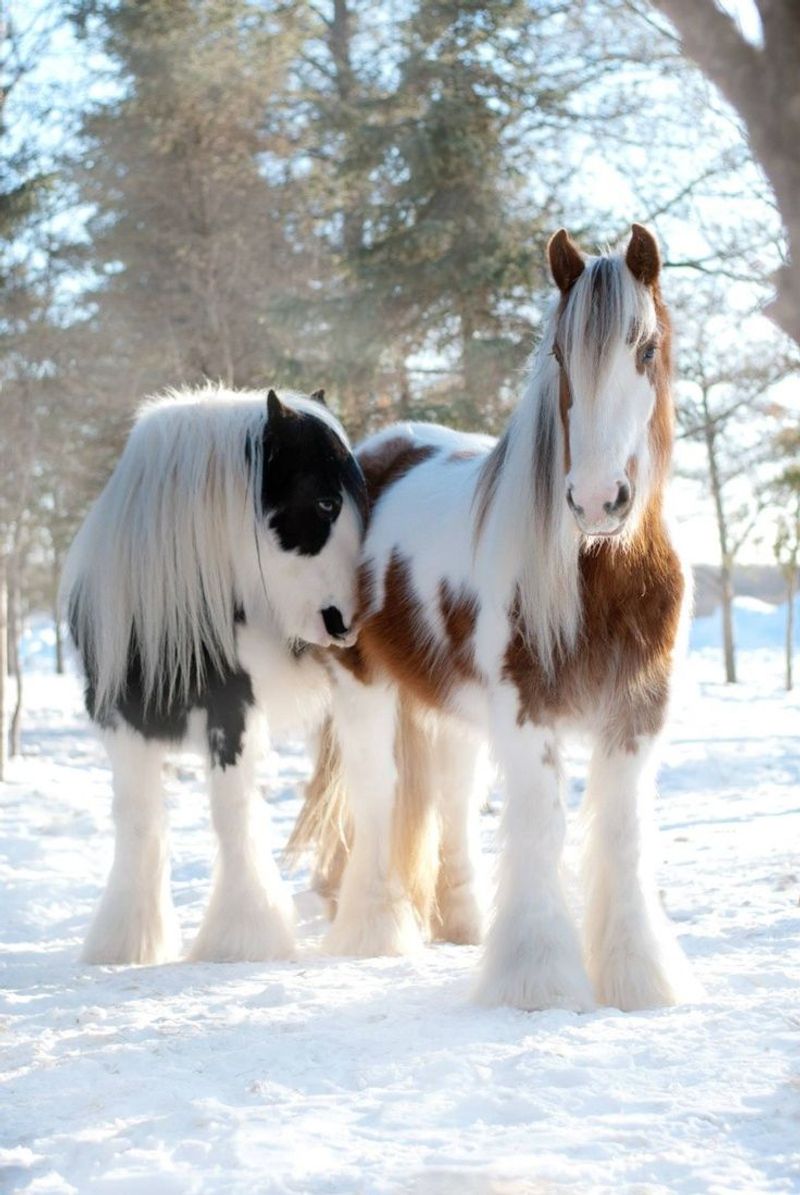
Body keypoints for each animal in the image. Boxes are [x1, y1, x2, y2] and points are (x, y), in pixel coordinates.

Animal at [63, 387, 365, 965]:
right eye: (324, 503)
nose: (352, 618)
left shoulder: (234, 713)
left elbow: (234, 811)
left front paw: (243, 937)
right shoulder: (120, 720)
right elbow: (138, 817)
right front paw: (128, 941)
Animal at [295, 222, 698, 1008]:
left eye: (645, 349)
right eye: (560, 355)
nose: (597, 500)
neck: (600, 576)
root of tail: (375, 452)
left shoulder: (635, 714)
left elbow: (622, 836)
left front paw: (635, 978)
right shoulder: (525, 711)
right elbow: (540, 829)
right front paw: (537, 982)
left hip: (454, 712)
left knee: (450, 797)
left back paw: (461, 924)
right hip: (365, 692)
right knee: (377, 795)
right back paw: (375, 930)